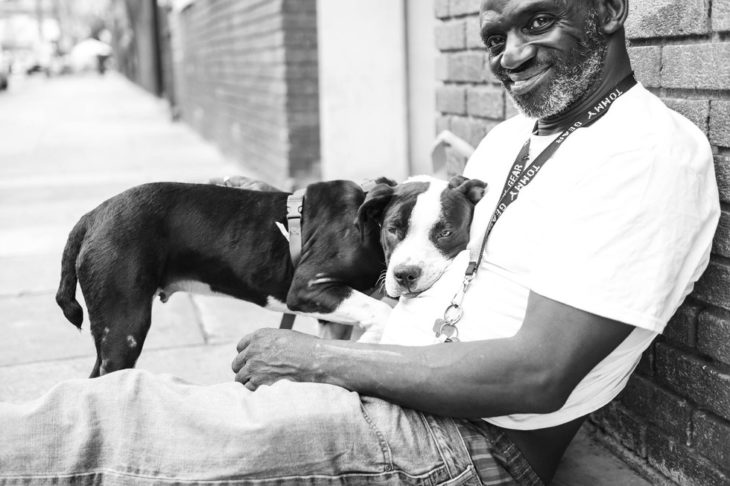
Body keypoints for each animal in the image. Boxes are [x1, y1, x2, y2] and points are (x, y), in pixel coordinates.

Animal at [55, 175, 484, 376]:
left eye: (445, 232)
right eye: (394, 229)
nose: (406, 274)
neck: (367, 223)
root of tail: (92, 216)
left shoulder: (331, 316)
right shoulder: (308, 287)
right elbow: (381, 312)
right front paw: (373, 341)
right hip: (123, 327)